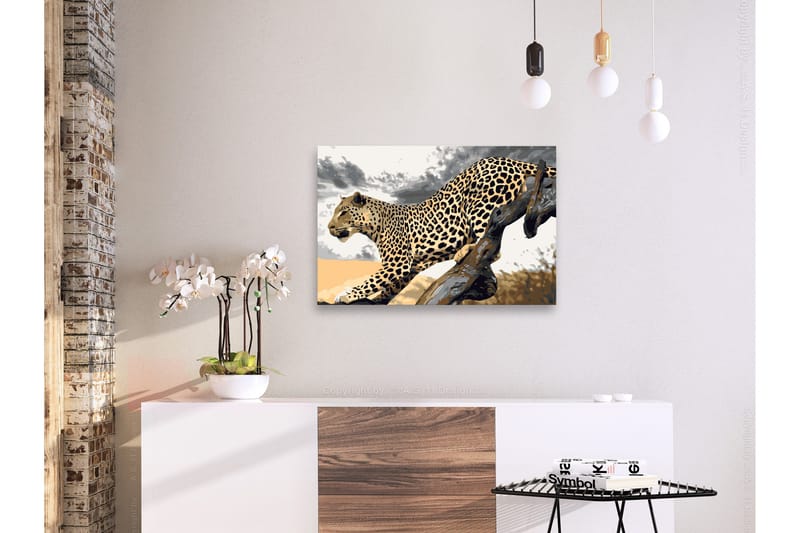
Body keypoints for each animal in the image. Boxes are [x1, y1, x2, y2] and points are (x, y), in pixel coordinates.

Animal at [326, 156, 557, 304]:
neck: (373, 225)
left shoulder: (397, 263)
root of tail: (506, 160)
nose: (329, 227)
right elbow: (389, 286)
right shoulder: (409, 267)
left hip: (480, 205)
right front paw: (378, 299)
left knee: (492, 241)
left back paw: (465, 250)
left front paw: (346, 295)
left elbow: (371, 281)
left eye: (343, 212)